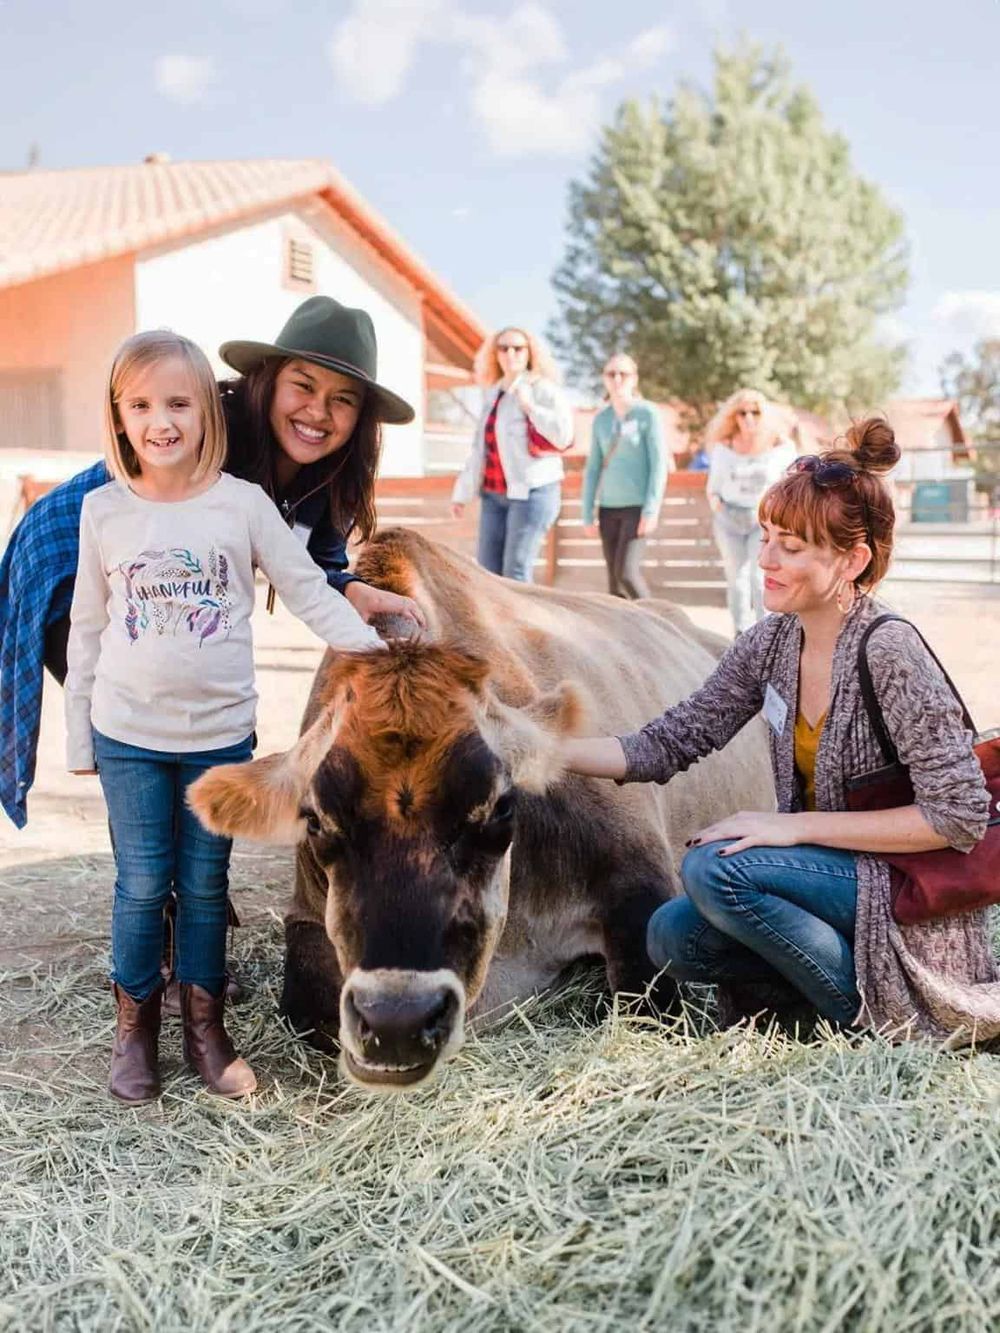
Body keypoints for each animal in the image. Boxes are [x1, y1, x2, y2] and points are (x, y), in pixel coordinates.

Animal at [189, 528, 772, 1092]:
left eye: (500, 807)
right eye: (315, 819)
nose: (399, 1018)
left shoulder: (641, 887)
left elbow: (649, 1006)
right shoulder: (307, 919)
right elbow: (309, 1010)